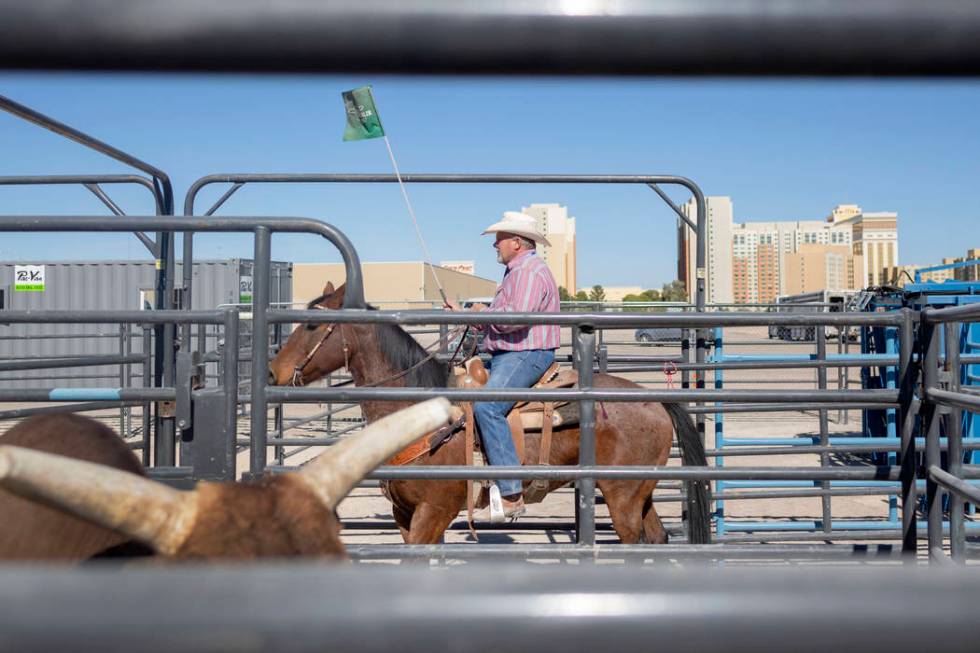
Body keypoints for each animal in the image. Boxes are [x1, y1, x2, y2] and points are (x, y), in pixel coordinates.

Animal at [272, 282, 708, 544]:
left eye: (311, 325)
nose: (273, 370)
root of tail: (651, 398)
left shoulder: (434, 512)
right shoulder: (404, 513)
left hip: (622, 495)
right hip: (639, 492)